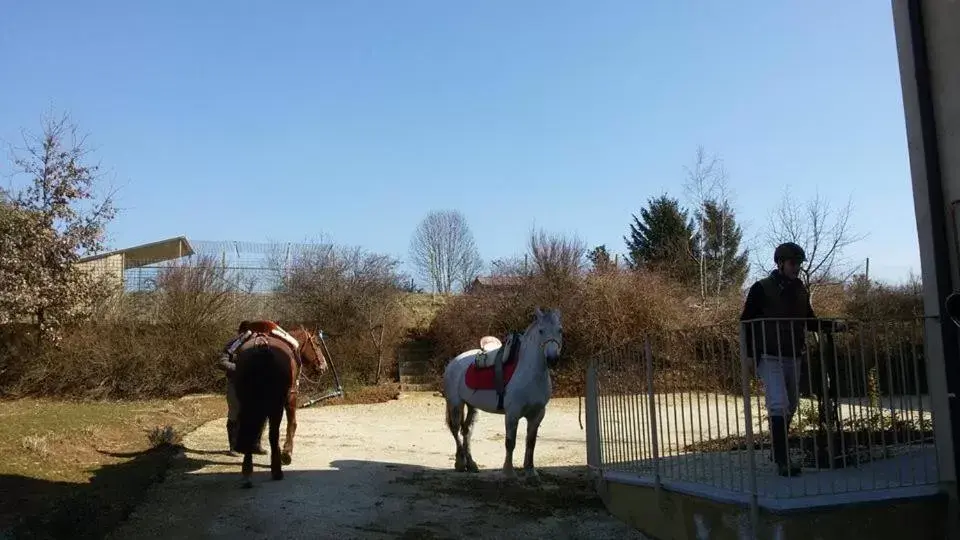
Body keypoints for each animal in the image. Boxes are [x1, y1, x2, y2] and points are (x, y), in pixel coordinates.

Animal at [232, 322, 326, 488]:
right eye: (316, 343)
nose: (324, 366)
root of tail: (262, 345)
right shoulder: (292, 396)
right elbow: (292, 424)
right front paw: (287, 453)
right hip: (276, 405)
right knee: (273, 434)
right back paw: (276, 470)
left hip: (246, 402)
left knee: (249, 428)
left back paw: (247, 472)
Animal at [442, 308, 564, 486]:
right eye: (541, 331)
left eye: (560, 330)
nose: (552, 358)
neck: (530, 374)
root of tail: (454, 362)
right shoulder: (512, 414)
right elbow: (510, 442)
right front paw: (509, 473)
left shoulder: (537, 414)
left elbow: (531, 443)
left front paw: (531, 473)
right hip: (456, 404)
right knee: (456, 430)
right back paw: (459, 463)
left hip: (472, 406)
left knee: (467, 431)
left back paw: (471, 464)